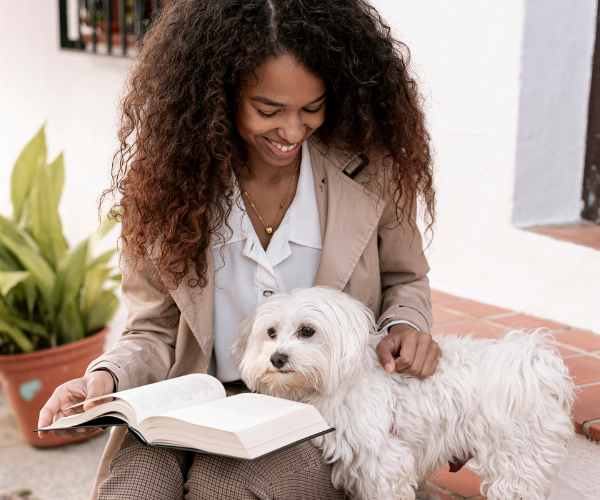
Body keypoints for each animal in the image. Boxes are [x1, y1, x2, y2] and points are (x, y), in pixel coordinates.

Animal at [232, 286, 576, 500]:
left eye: (307, 330)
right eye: (270, 333)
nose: (277, 358)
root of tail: (532, 361)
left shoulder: (384, 461)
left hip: (518, 462)